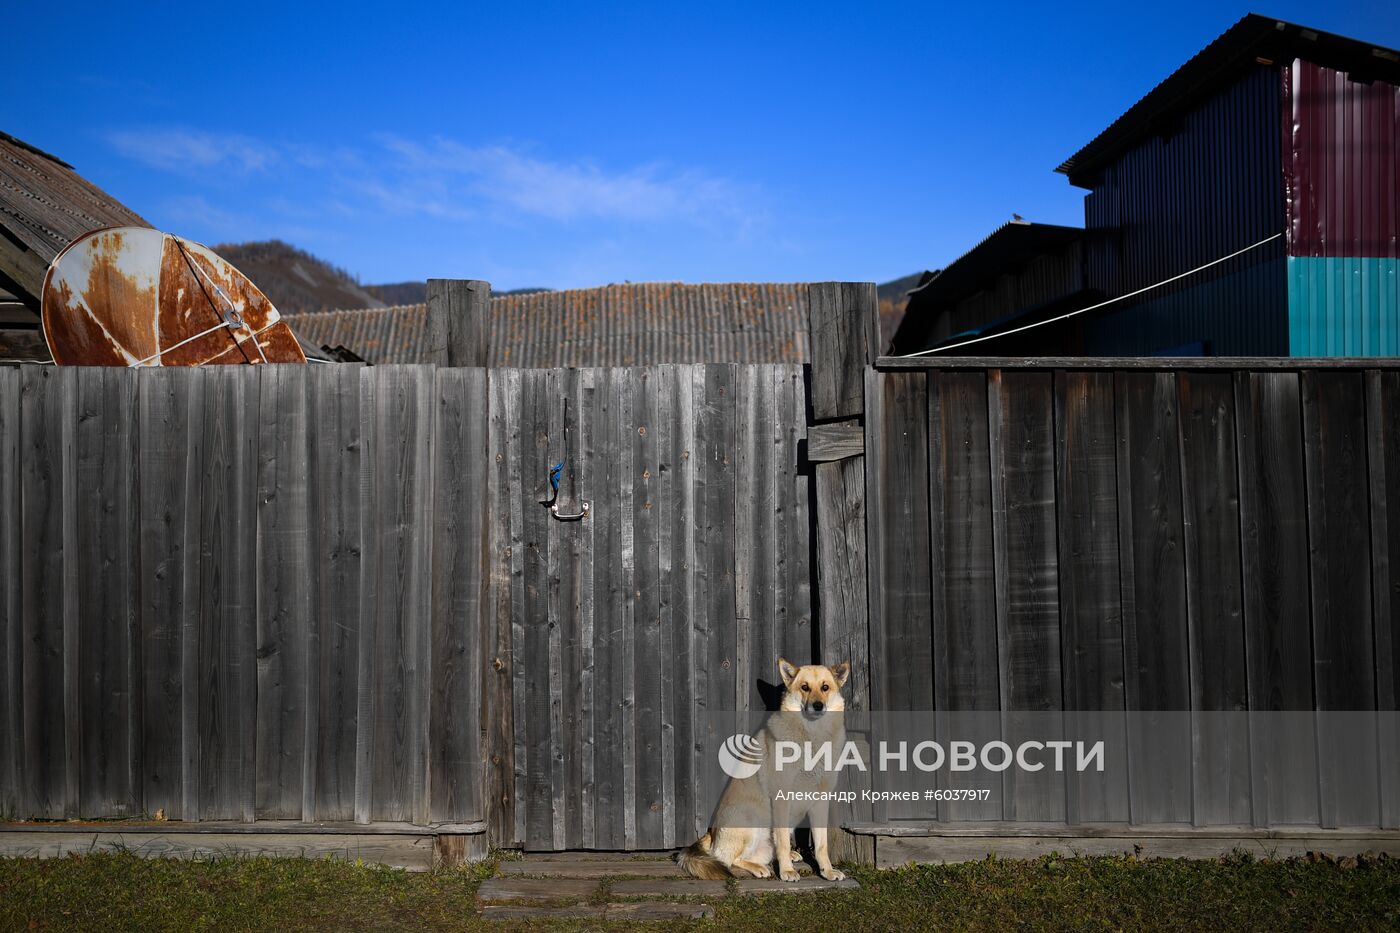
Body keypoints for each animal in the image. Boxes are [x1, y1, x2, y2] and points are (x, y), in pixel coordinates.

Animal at [674, 652, 845, 879]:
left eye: (825, 687)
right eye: (805, 687)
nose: (818, 705)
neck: (812, 738)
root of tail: (710, 835)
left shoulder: (820, 801)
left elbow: (821, 844)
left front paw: (827, 870)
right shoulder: (782, 798)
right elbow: (782, 841)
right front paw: (787, 871)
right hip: (750, 820)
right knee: (729, 860)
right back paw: (760, 868)